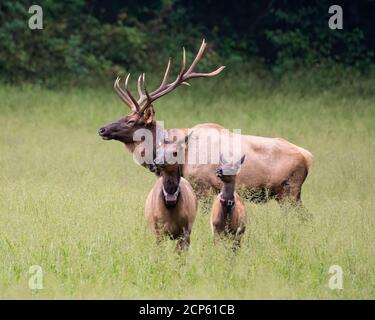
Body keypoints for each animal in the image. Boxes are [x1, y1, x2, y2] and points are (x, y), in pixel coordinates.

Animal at [98, 38, 312, 206]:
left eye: (132, 120)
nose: (102, 129)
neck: (180, 156)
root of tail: (308, 157)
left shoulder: (203, 187)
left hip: (288, 191)